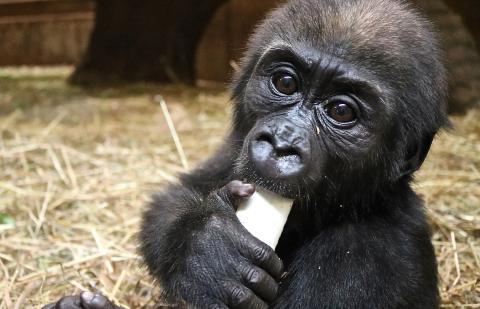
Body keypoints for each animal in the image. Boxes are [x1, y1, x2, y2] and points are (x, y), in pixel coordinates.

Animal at [43, 0, 448, 306]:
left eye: (341, 112)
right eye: (285, 82)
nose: (282, 144)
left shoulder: (368, 256)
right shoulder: (231, 155)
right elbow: (179, 195)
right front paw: (207, 249)